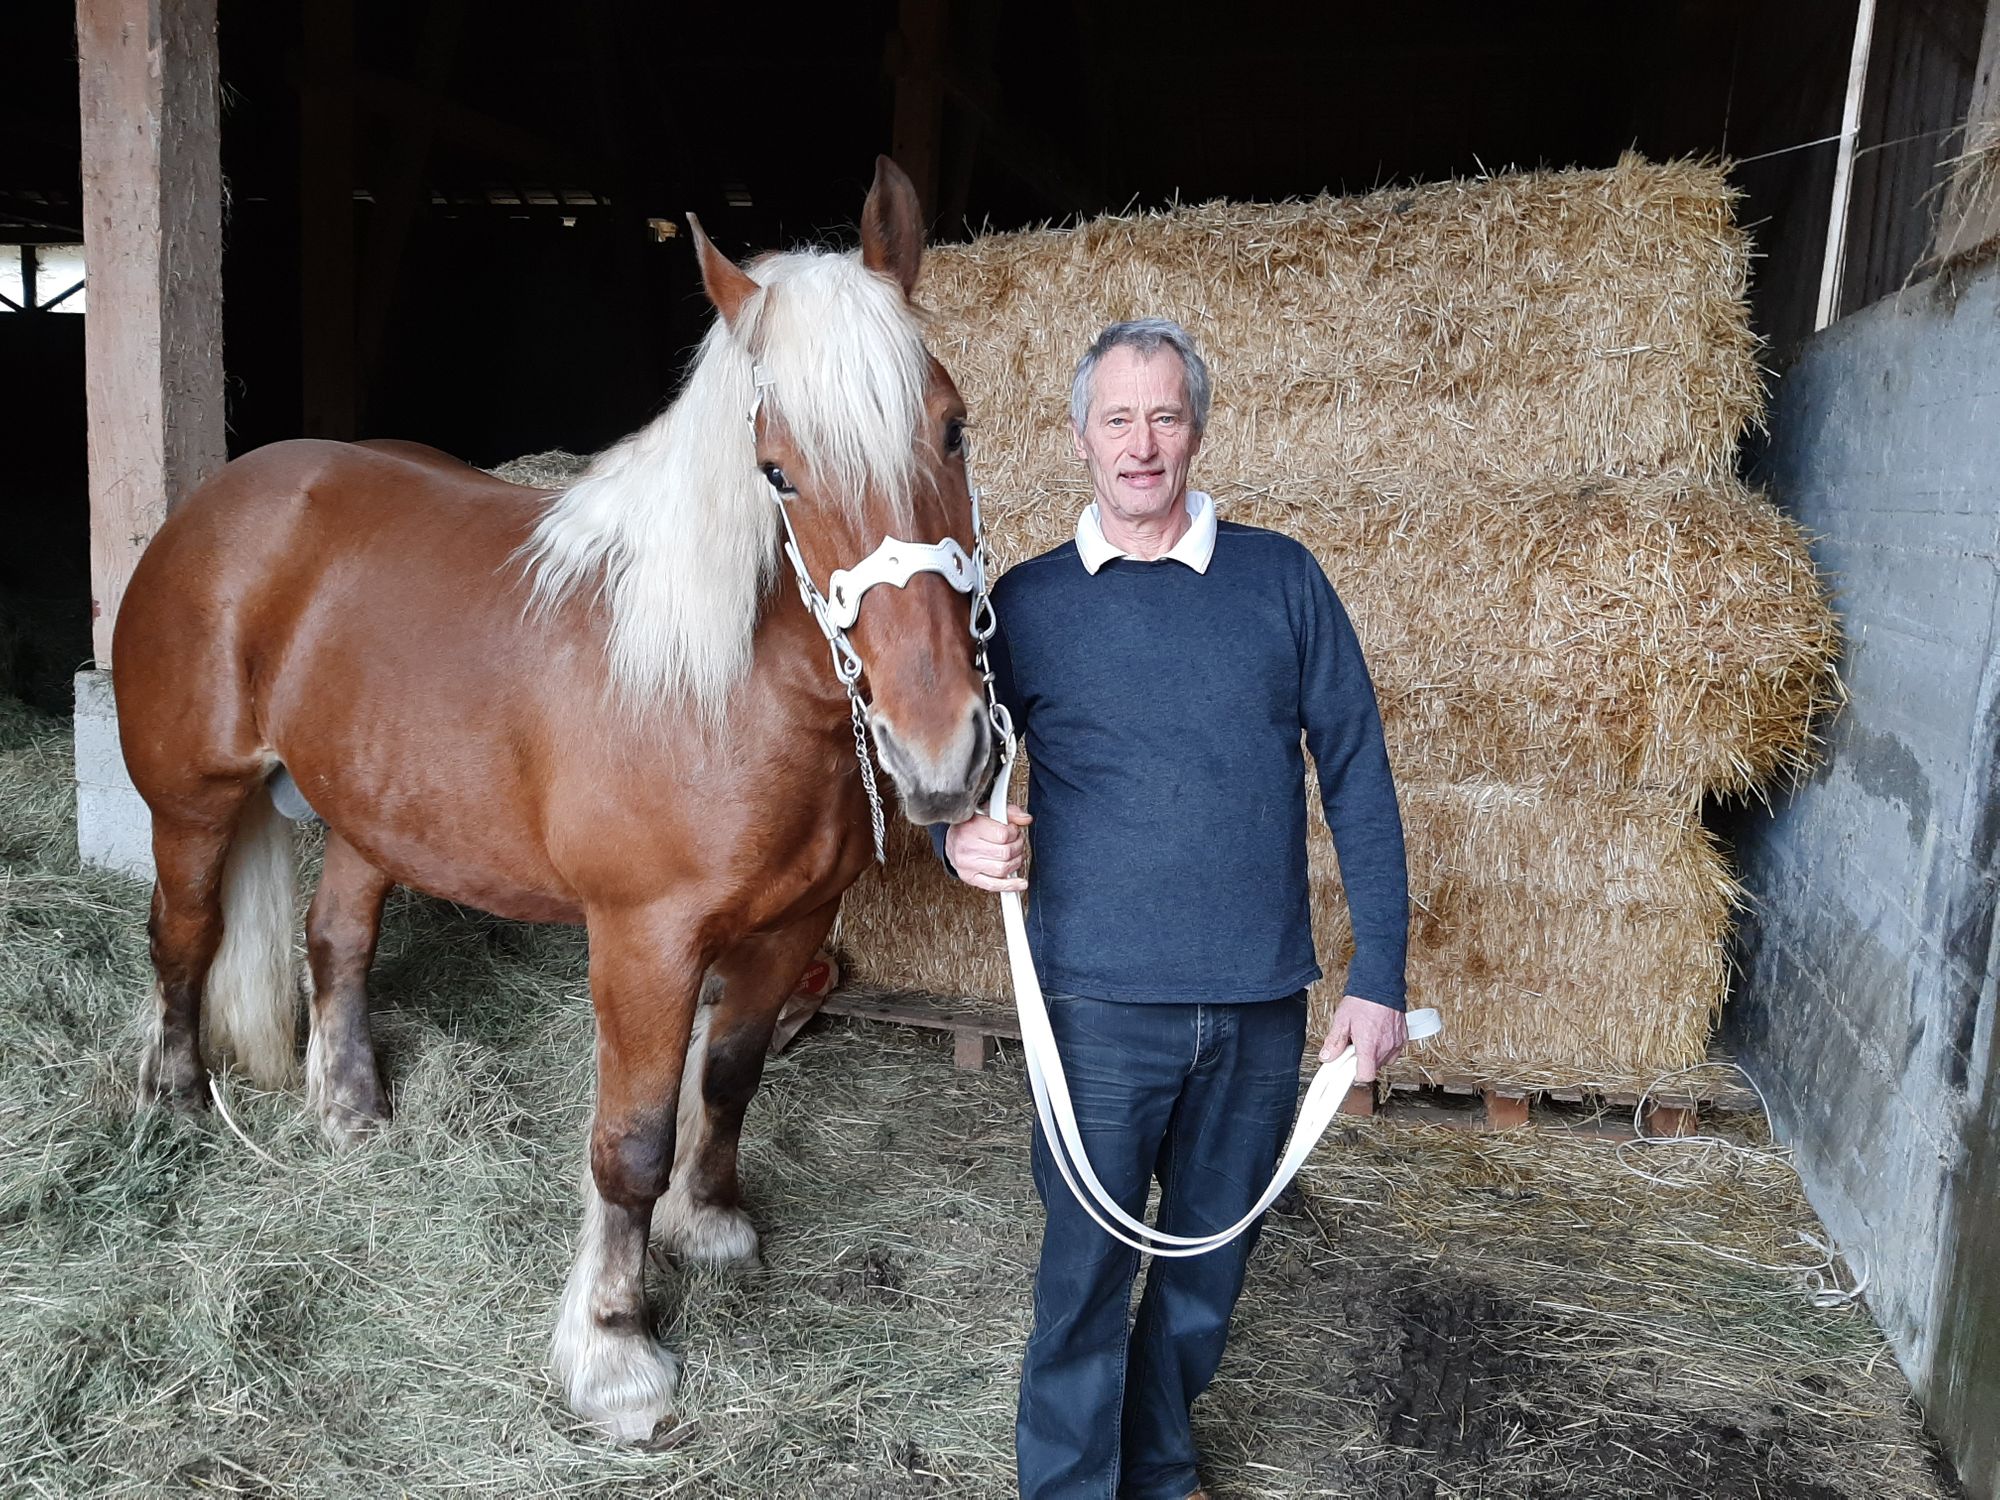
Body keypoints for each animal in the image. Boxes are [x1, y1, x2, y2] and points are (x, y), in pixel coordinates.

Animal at [105, 156, 996, 1448]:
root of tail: (225, 495)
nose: (942, 754)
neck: (713, 687)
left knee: (335, 940)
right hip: (194, 802)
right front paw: (614, 1351)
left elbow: (728, 1080)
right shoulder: (645, 944)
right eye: (777, 470)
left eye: (953, 425)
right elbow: (628, 1143)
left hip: (374, 807)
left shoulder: (789, 927)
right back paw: (172, 1097)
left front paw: (709, 1225)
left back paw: (351, 1110)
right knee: (182, 938)